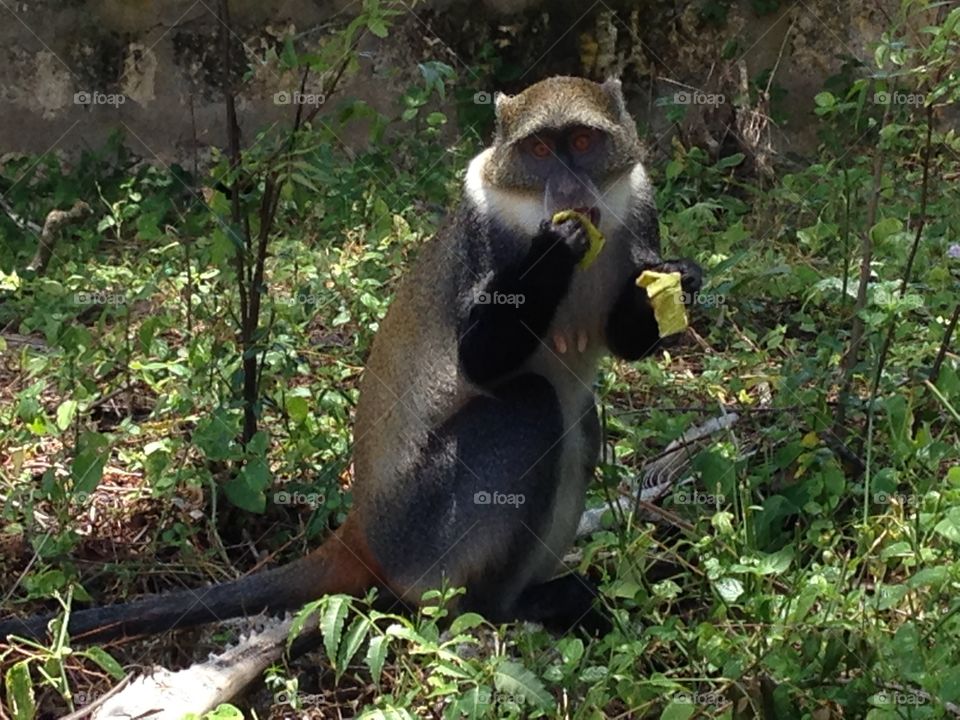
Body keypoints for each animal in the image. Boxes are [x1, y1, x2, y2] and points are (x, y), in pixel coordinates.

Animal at [0, 76, 702, 644]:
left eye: (581, 142)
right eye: (537, 152)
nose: (568, 190)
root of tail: (362, 531)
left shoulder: (638, 202)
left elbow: (629, 338)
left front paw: (683, 281)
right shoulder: (484, 227)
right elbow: (479, 359)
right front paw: (557, 245)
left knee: (578, 417)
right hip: (421, 531)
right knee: (532, 407)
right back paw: (503, 609)